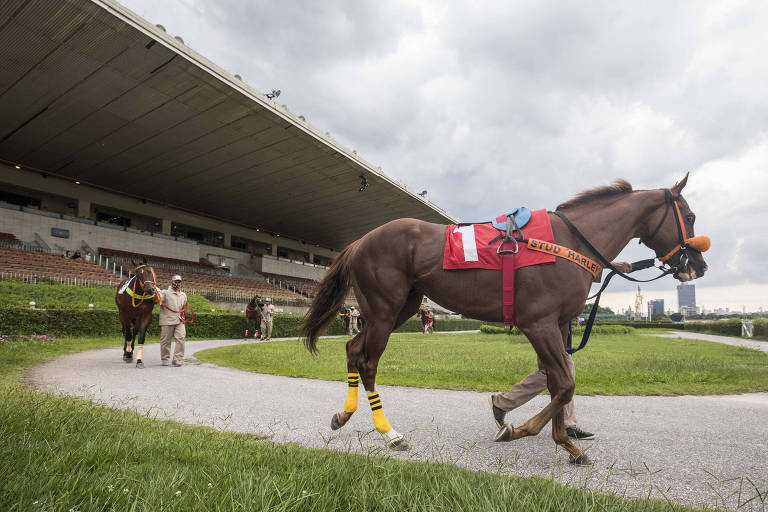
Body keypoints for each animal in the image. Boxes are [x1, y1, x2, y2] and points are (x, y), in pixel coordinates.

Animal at [304, 174, 712, 462]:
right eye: (690, 216)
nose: (699, 265)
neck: (569, 241)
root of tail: (360, 240)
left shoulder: (558, 324)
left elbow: (558, 381)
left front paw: (567, 443)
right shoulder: (538, 323)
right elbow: (564, 384)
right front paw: (519, 430)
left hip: (399, 307)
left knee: (353, 350)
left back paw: (344, 415)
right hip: (385, 309)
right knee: (368, 362)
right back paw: (391, 434)